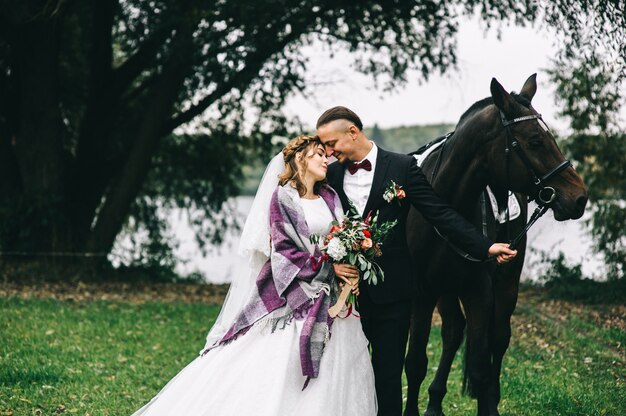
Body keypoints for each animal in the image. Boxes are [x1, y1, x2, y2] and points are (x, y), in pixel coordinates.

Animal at [402, 75, 588, 416]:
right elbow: (415, 362)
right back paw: (435, 401)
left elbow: (479, 365)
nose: (579, 197)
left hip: (504, 282)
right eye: (535, 141)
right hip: (446, 288)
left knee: (497, 338)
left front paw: (486, 401)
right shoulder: (423, 291)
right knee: (452, 331)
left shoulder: (479, 290)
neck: (445, 203)